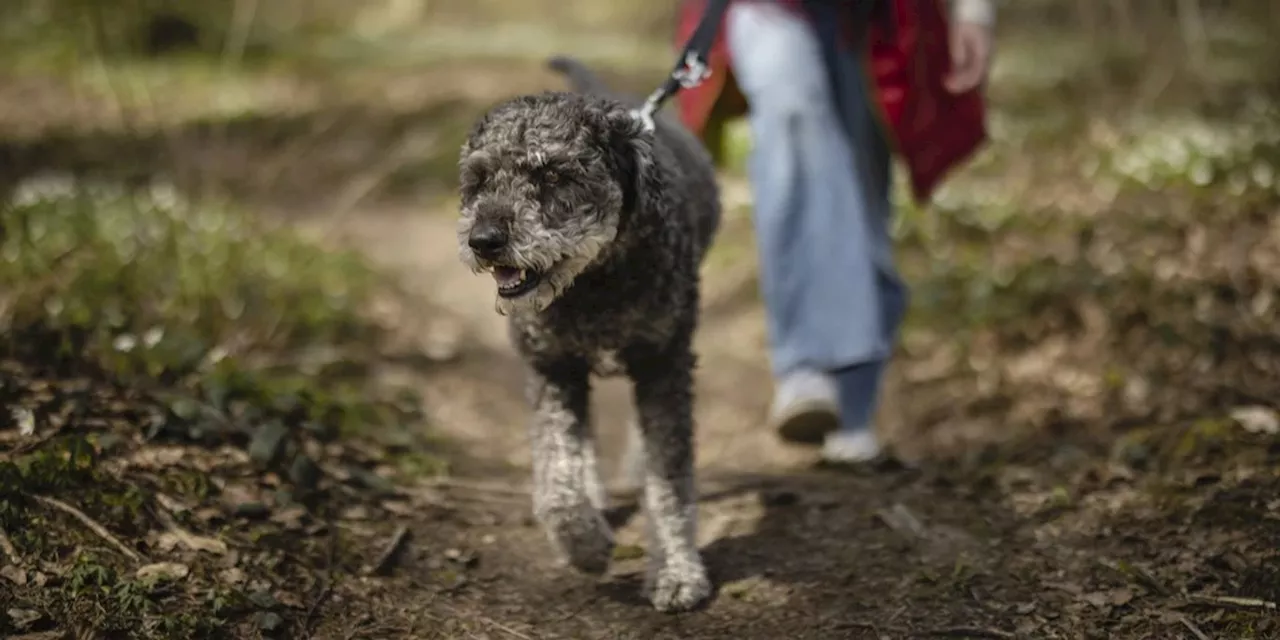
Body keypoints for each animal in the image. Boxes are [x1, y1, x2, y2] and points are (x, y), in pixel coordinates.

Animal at [458, 55, 721, 609]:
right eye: (480, 178)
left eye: (554, 174)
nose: (484, 240)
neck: (595, 282)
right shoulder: (553, 368)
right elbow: (558, 476)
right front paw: (585, 543)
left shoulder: (664, 362)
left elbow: (671, 481)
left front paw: (676, 571)